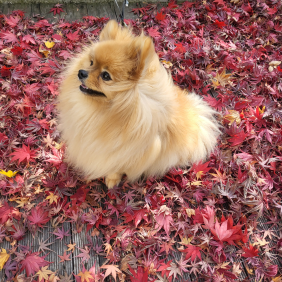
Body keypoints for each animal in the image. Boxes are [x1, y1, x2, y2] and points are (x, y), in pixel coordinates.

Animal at [57, 20, 220, 188]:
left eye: (106, 76)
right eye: (91, 62)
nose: (81, 72)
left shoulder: (128, 150)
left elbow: (117, 165)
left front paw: (112, 179)